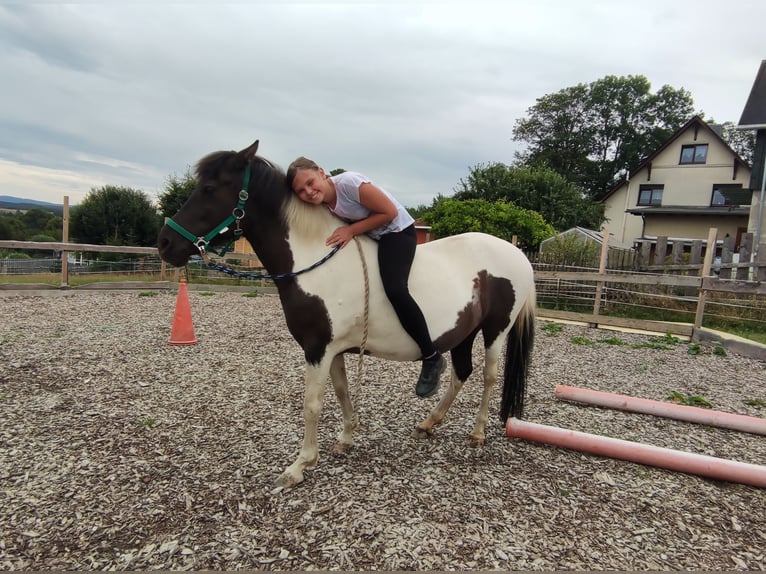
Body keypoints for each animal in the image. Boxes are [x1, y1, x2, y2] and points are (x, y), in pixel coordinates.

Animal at [158, 142, 536, 488]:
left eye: (210, 188)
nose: (165, 244)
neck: (315, 258)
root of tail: (517, 253)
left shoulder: (317, 349)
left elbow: (312, 404)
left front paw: (300, 466)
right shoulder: (332, 349)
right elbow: (341, 393)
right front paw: (346, 438)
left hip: (495, 331)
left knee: (487, 377)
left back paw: (477, 432)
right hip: (464, 331)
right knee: (461, 372)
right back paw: (429, 422)